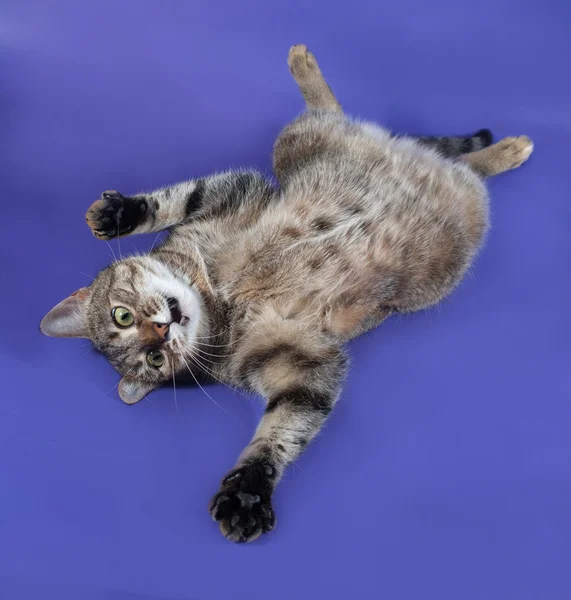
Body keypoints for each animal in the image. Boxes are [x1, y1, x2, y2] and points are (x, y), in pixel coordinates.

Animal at [39, 44, 532, 540]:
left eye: (122, 316)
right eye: (155, 360)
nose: (161, 332)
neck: (223, 296)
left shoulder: (230, 192)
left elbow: (169, 202)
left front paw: (119, 213)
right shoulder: (302, 363)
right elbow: (281, 431)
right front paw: (248, 493)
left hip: (296, 140)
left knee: (344, 114)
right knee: (464, 167)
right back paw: (504, 150)